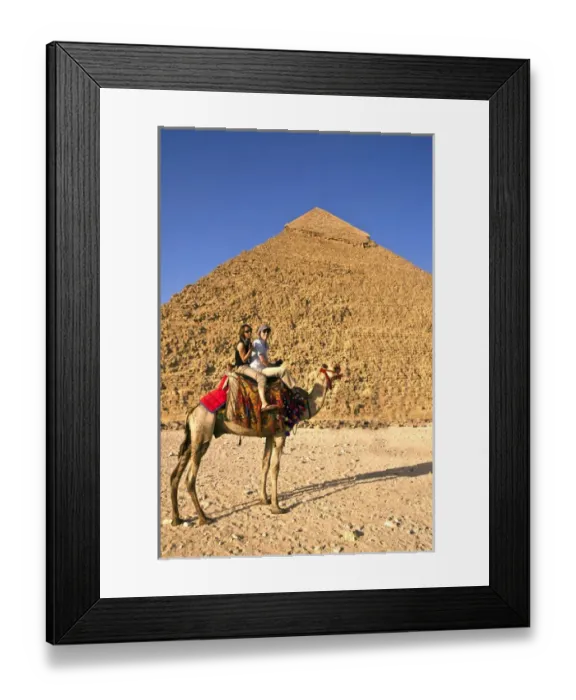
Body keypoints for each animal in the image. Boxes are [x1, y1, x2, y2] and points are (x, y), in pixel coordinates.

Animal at [170, 363, 343, 526]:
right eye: (332, 367)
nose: (341, 370)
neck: (297, 405)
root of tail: (192, 412)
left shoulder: (269, 434)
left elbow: (265, 464)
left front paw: (264, 499)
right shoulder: (280, 434)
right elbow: (275, 468)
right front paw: (277, 507)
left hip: (193, 438)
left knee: (175, 474)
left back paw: (177, 519)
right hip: (203, 433)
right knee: (190, 478)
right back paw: (203, 518)